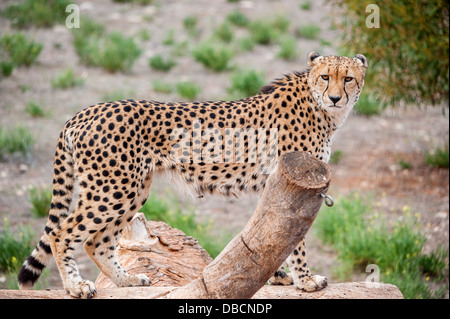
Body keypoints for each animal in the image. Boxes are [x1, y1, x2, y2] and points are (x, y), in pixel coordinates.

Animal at [18, 51, 370, 298]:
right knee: (62, 233)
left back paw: (127, 280)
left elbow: (276, 234)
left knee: (96, 241)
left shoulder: (278, 183)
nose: (335, 97)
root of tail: (86, 111)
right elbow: (295, 242)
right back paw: (75, 287)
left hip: (131, 190)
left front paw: (282, 277)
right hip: (113, 189)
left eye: (348, 79)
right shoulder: (297, 180)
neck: (320, 108)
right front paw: (305, 280)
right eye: (325, 77)